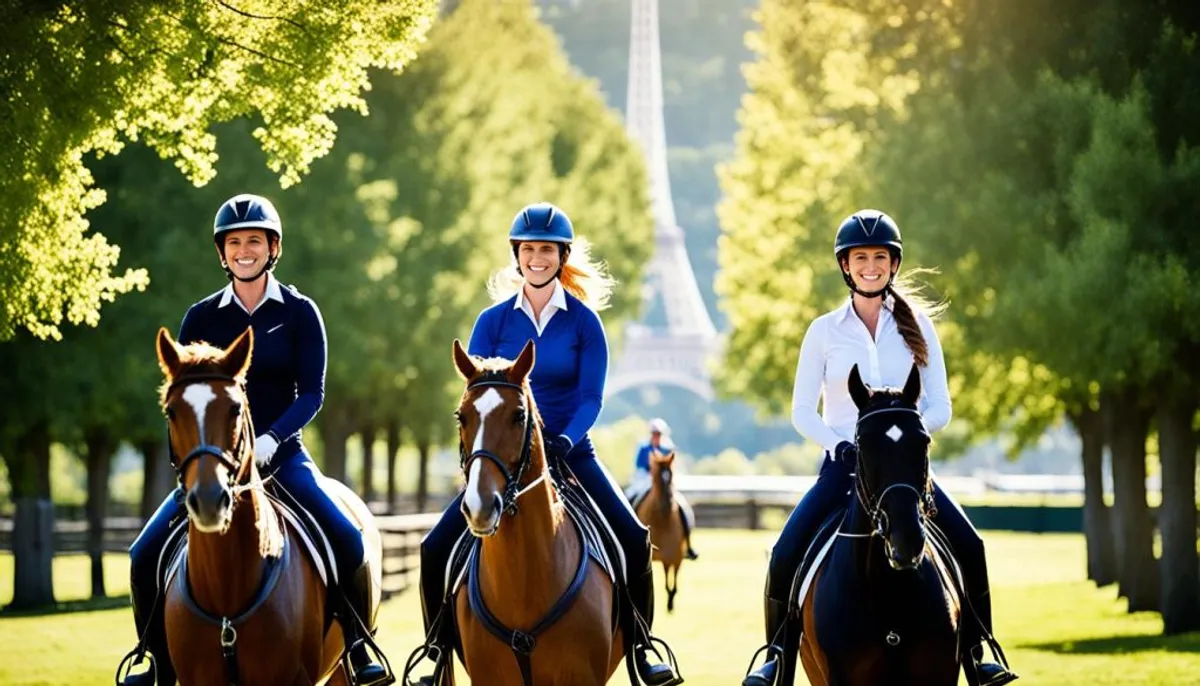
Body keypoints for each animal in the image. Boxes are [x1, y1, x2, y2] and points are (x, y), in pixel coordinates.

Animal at [633, 450, 691, 611]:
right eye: (657, 477)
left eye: (671, 475)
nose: (668, 504)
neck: (662, 521)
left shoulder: (676, 557)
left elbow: (674, 580)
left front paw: (671, 600)